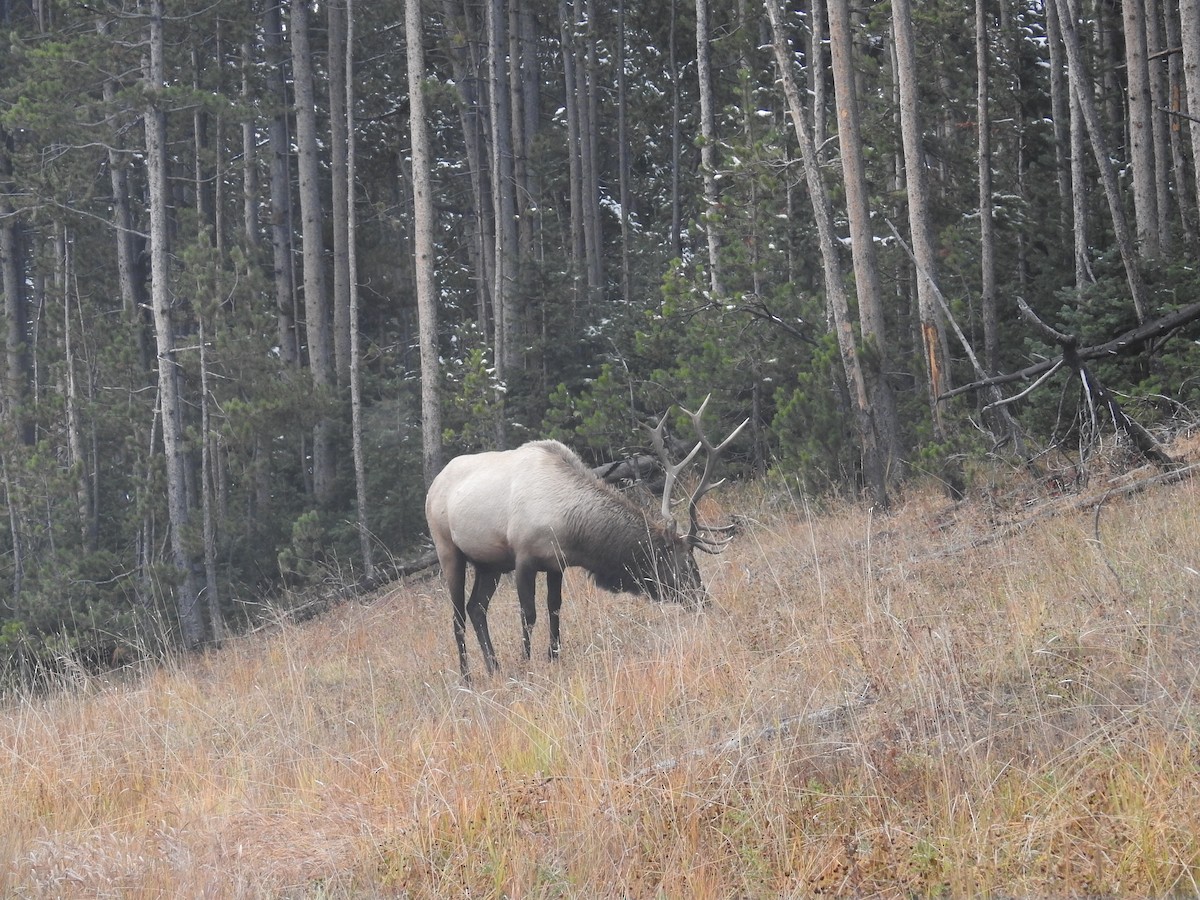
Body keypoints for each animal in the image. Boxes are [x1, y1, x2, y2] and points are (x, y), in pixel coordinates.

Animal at [424, 396, 748, 680]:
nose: (705, 602)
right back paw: (467, 676)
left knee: (476, 608)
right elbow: (529, 614)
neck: (571, 528)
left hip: (489, 564)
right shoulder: (523, 557)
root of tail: (433, 486)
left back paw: (494, 667)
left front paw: (553, 656)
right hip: (448, 550)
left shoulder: (555, 564)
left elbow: (555, 609)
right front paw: (526, 663)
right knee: (457, 616)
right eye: (686, 565)